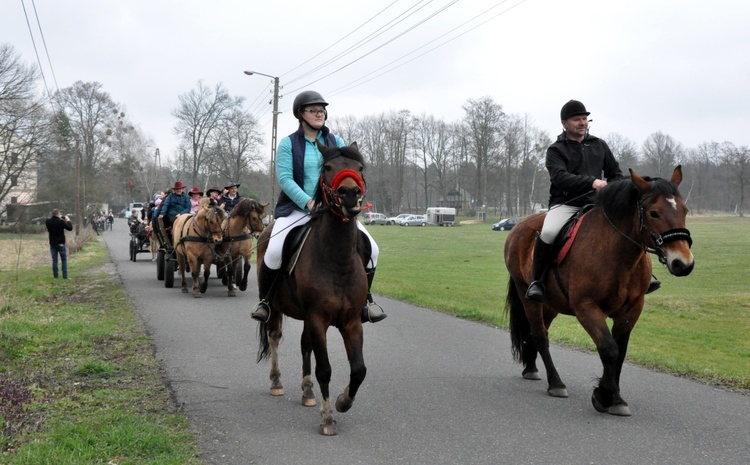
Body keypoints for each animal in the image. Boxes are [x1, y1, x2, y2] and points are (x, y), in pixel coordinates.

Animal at [256, 141, 370, 436]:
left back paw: (307, 392)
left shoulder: (351, 321)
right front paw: (328, 417)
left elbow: (359, 369)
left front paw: (343, 401)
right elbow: (325, 369)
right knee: (274, 337)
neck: (337, 260)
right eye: (327, 167)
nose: (350, 194)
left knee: (304, 345)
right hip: (276, 310)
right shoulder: (318, 318)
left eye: (360, 167)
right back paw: (276, 382)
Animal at [506, 165, 700, 416]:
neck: (616, 252)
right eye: (654, 213)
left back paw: (531, 368)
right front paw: (605, 396)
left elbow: (620, 352)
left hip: (550, 304)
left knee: (538, 332)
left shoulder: (631, 309)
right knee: (540, 335)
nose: (683, 263)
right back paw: (555, 383)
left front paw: (614, 397)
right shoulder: (587, 307)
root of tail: (519, 226)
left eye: (684, 210)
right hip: (528, 296)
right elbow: (609, 349)